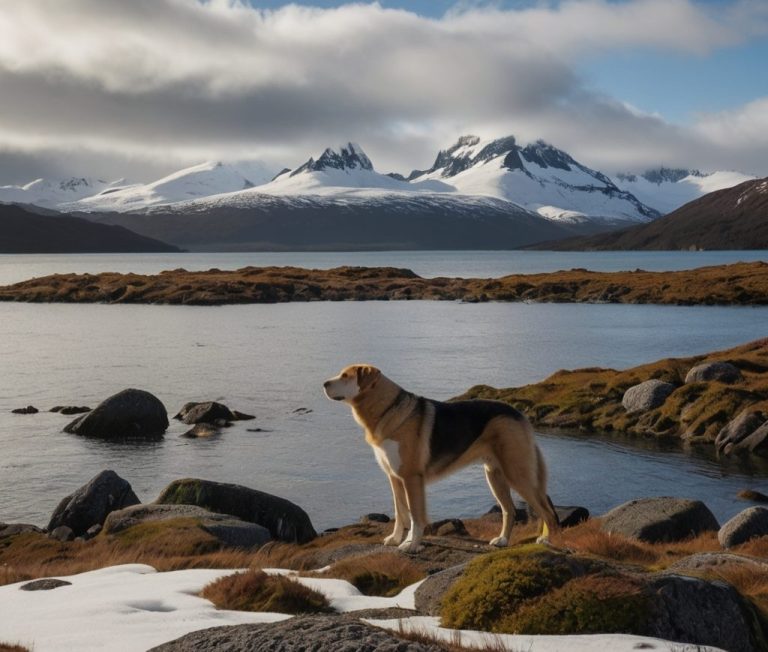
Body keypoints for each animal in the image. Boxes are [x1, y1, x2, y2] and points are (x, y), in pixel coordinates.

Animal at [324, 364, 560, 552]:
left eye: (345, 376)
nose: (324, 383)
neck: (387, 409)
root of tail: (519, 415)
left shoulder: (411, 478)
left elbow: (416, 516)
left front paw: (411, 545)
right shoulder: (395, 478)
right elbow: (401, 513)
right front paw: (396, 539)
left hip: (517, 474)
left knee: (547, 512)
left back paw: (548, 542)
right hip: (495, 476)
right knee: (509, 510)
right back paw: (502, 540)